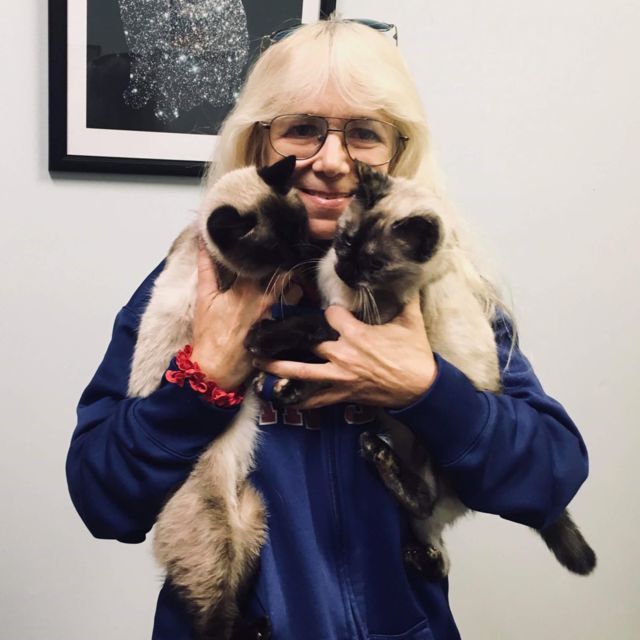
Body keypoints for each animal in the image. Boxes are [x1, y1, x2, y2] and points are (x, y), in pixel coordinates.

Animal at [127, 155, 315, 640]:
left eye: (300, 225)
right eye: (274, 246)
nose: (303, 254)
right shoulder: (253, 336)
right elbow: (298, 330)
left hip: (253, 520)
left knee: (233, 597)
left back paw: (259, 627)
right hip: (214, 547)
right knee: (211, 619)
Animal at [246, 161, 597, 579]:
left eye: (375, 264)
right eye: (345, 243)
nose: (344, 268)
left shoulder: (359, 330)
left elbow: (311, 331)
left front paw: (268, 349)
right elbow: (310, 336)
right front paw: (272, 367)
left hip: (436, 453)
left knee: (427, 504)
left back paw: (376, 455)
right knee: (434, 542)